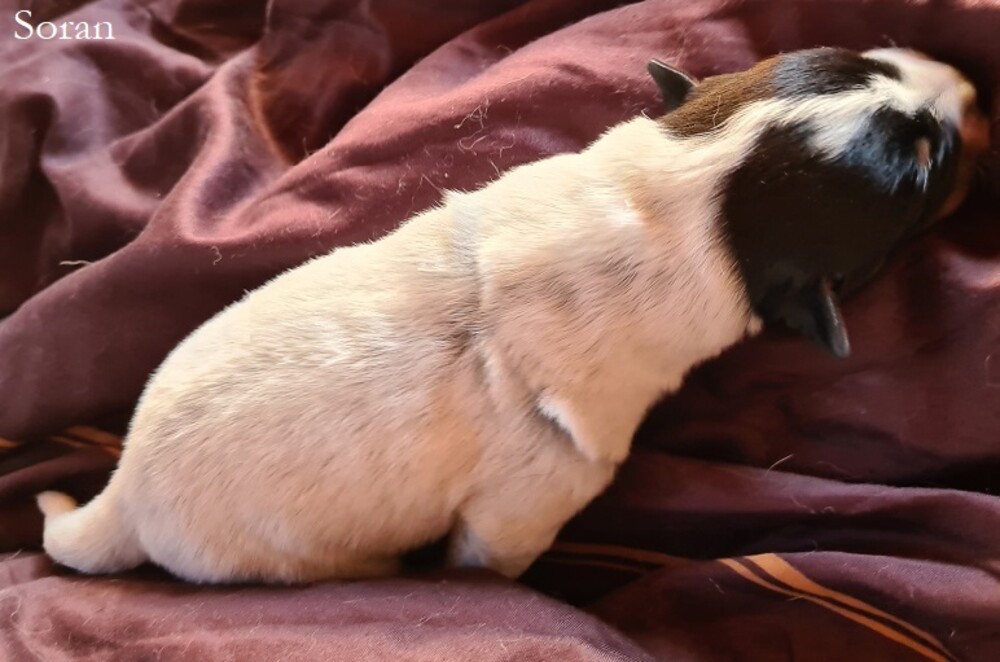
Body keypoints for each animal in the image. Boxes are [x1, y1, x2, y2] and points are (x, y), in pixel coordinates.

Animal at [37, 47, 989, 583]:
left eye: (866, 61)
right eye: (923, 165)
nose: (973, 87)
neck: (684, 202)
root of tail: (122, 492)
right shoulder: (537, 493)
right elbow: (495, 552)